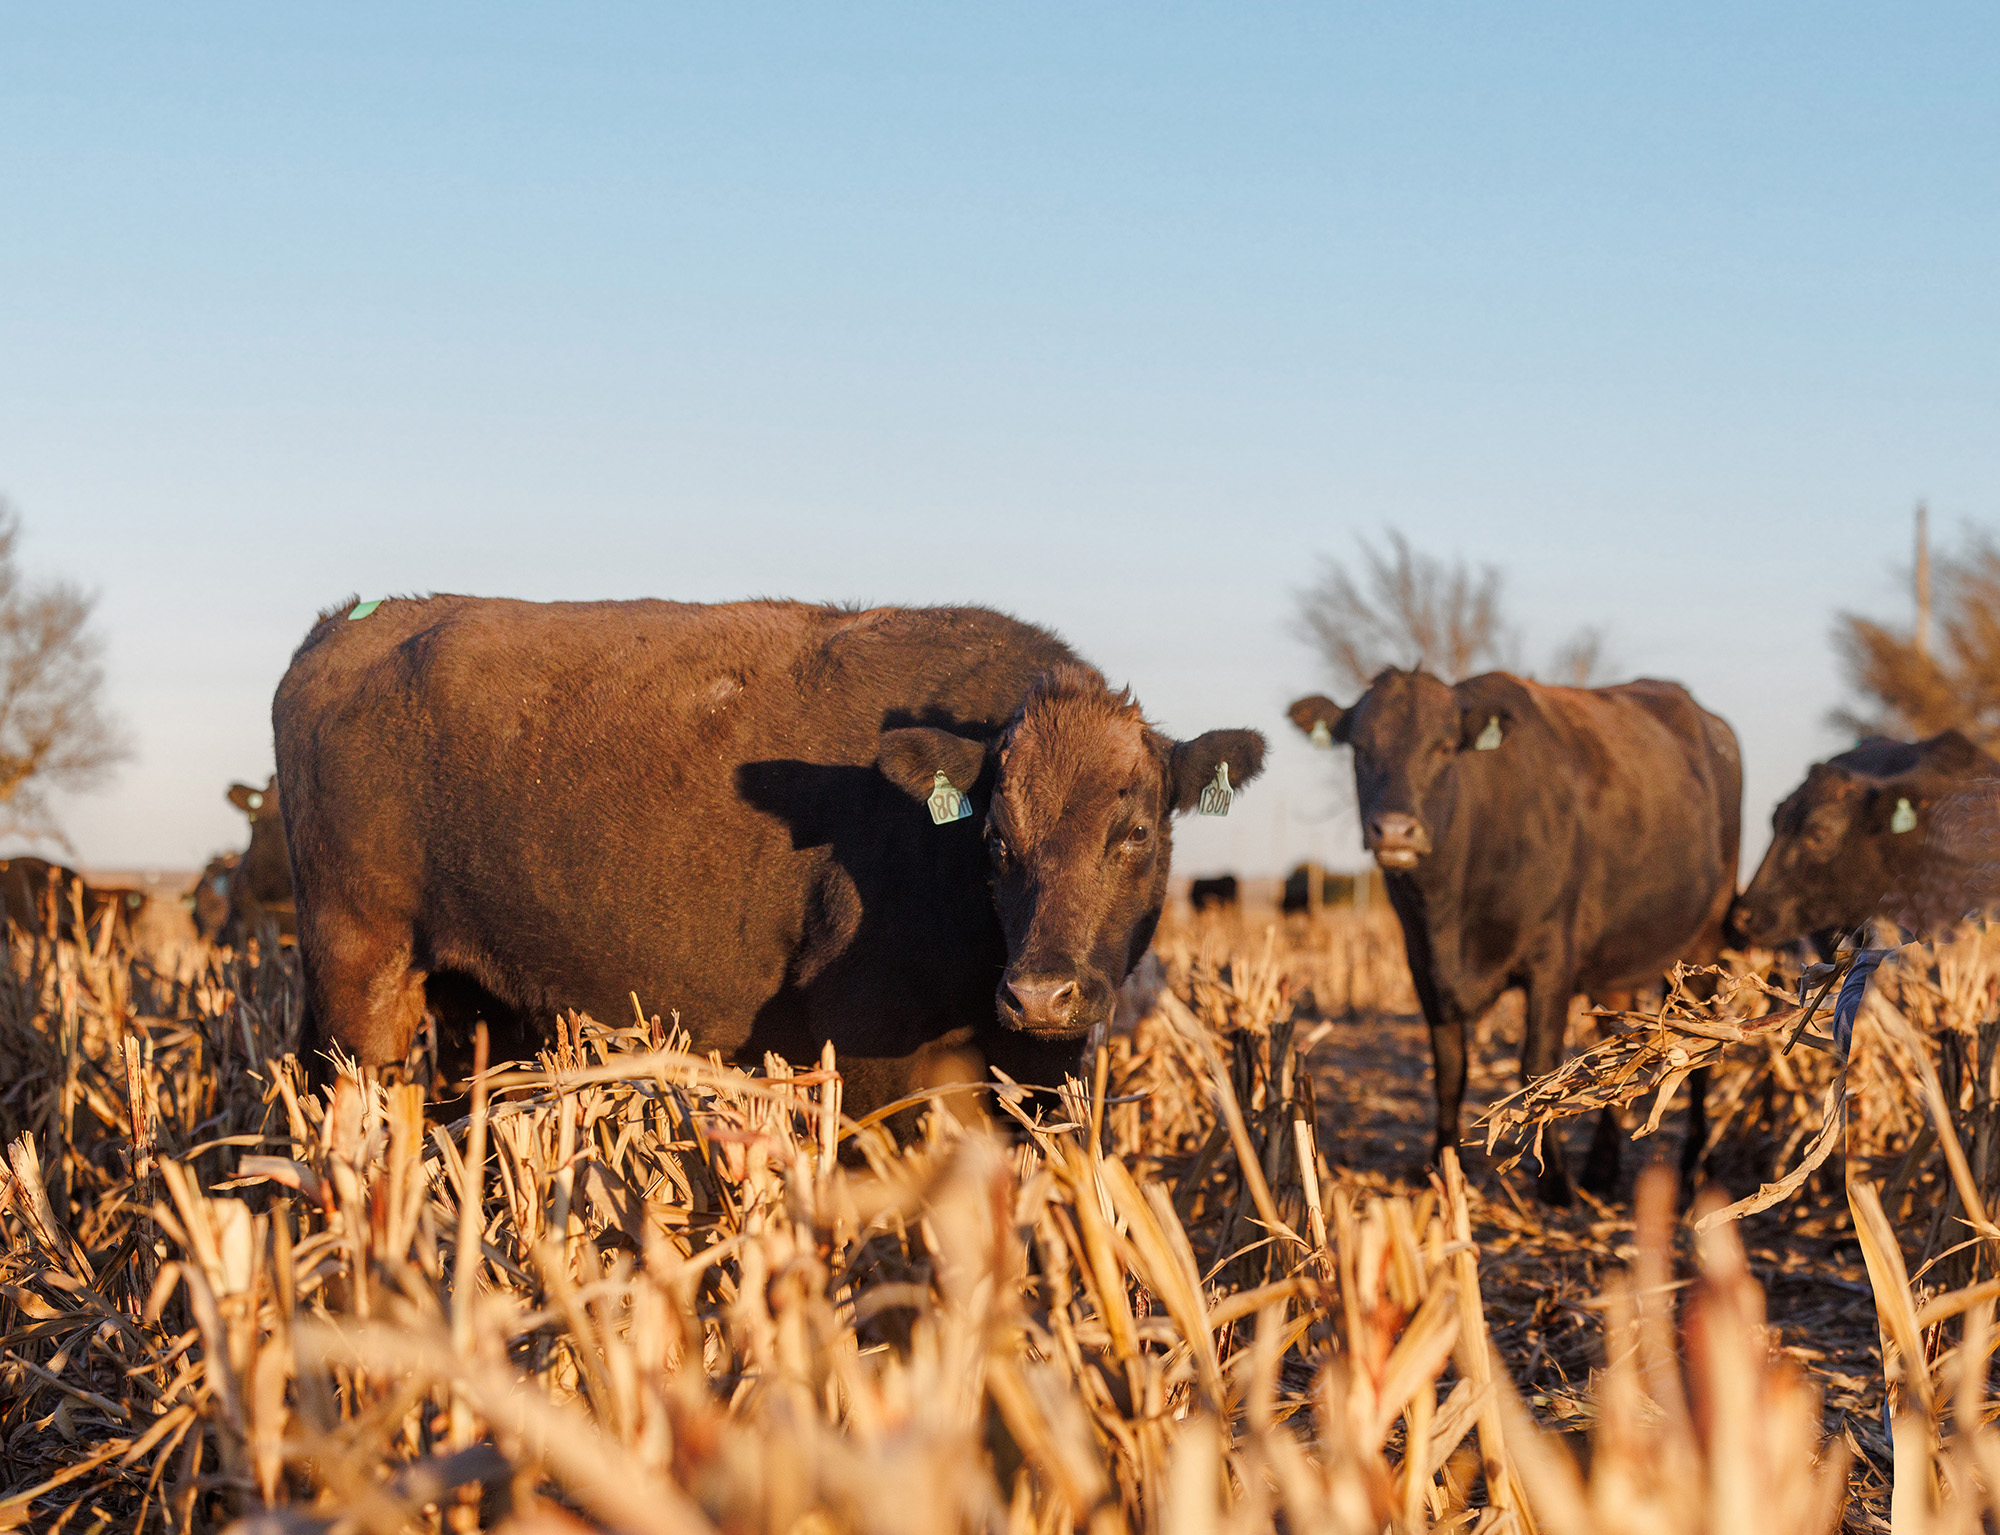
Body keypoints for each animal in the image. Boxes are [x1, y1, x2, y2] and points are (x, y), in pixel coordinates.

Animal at [273, 597, 1266, 1116]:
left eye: (1135, 833)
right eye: (994, 838)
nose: (1041, 993)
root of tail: (344, 626)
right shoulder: (861, 1056)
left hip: (473, 1000)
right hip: (359, 975)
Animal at [1288, 669, 1740, 1202]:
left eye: (1444, 746)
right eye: (1360, 748)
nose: (1395, 830)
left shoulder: (1551, 964)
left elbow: (1539, 1066)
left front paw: (1556, 1182)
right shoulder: (1424, 967)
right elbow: (1450, 1070)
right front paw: (1442, 1167)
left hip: (1705, 937)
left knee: (1702, 1051)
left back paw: (1694, 1170)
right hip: (1615, 971)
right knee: (1620, 1044)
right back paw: (1602, 1170)